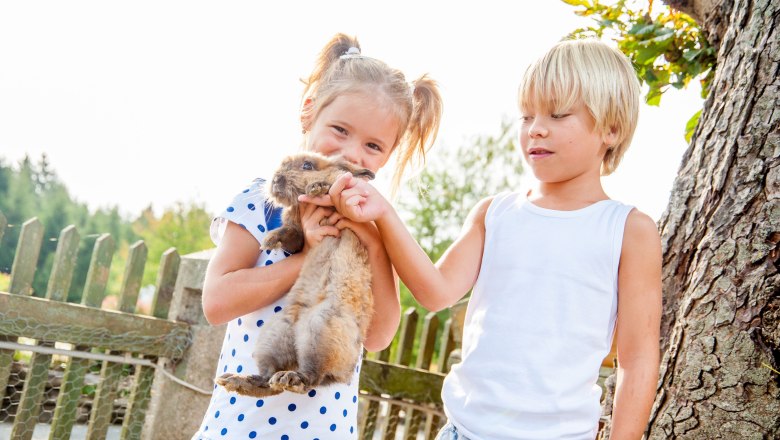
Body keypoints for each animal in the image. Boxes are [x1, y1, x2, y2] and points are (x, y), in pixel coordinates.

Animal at [218, 150, 376, 396]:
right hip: (275, 335)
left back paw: (289, 378)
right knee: (268, 381)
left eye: (308, 165)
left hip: (321, 331)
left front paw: (318, 188)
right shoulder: (297, 235)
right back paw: (237, 380)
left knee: (311, 377)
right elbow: (291, 234)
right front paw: (269, 240)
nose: (276, 180)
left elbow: (333, 185)